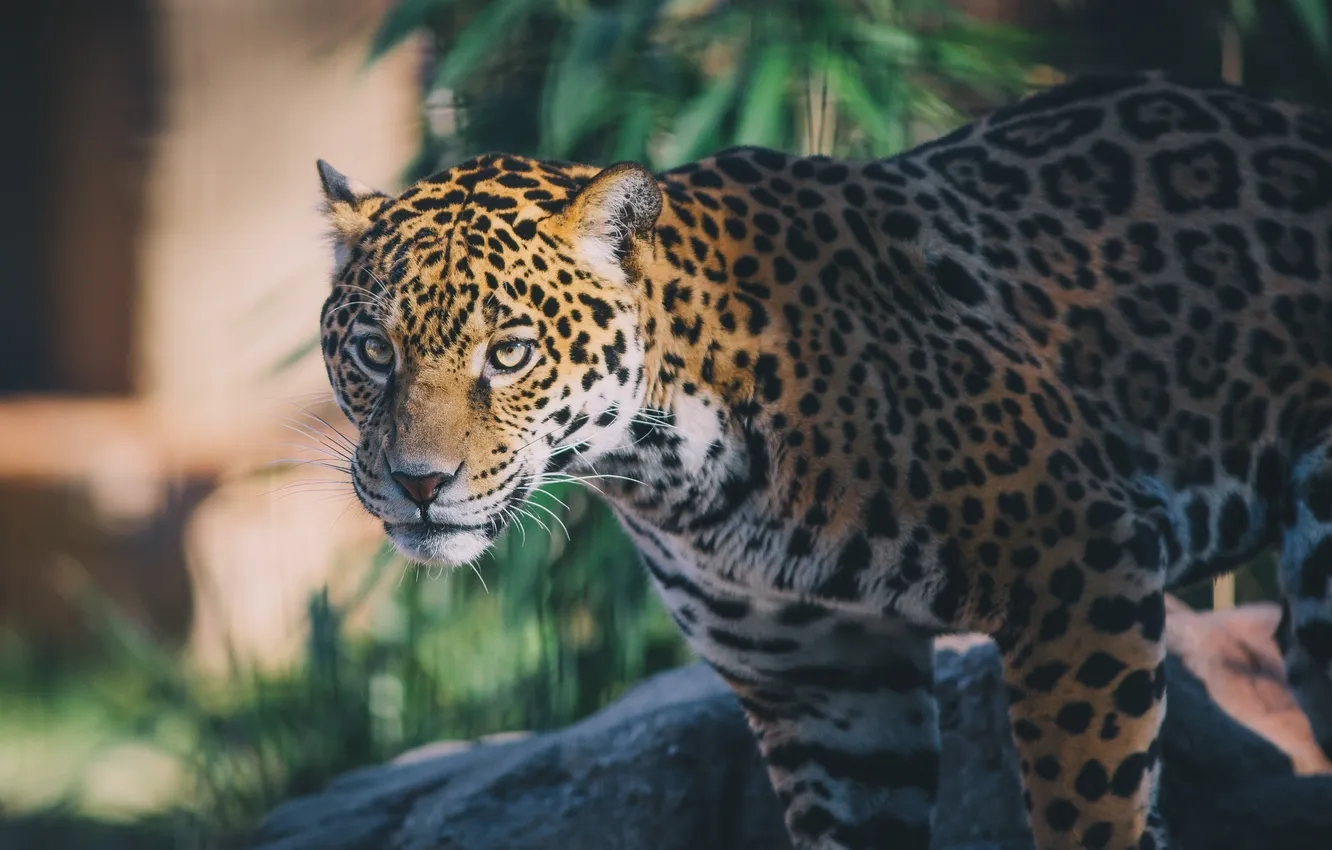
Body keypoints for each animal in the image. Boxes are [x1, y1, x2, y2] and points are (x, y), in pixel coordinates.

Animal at [314, 70, 1332, 850]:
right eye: (373, 351)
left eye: (511, 352)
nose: (417, 484)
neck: (677, 473)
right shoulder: (827, 687)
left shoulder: (1078, 566)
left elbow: (1091, 812)